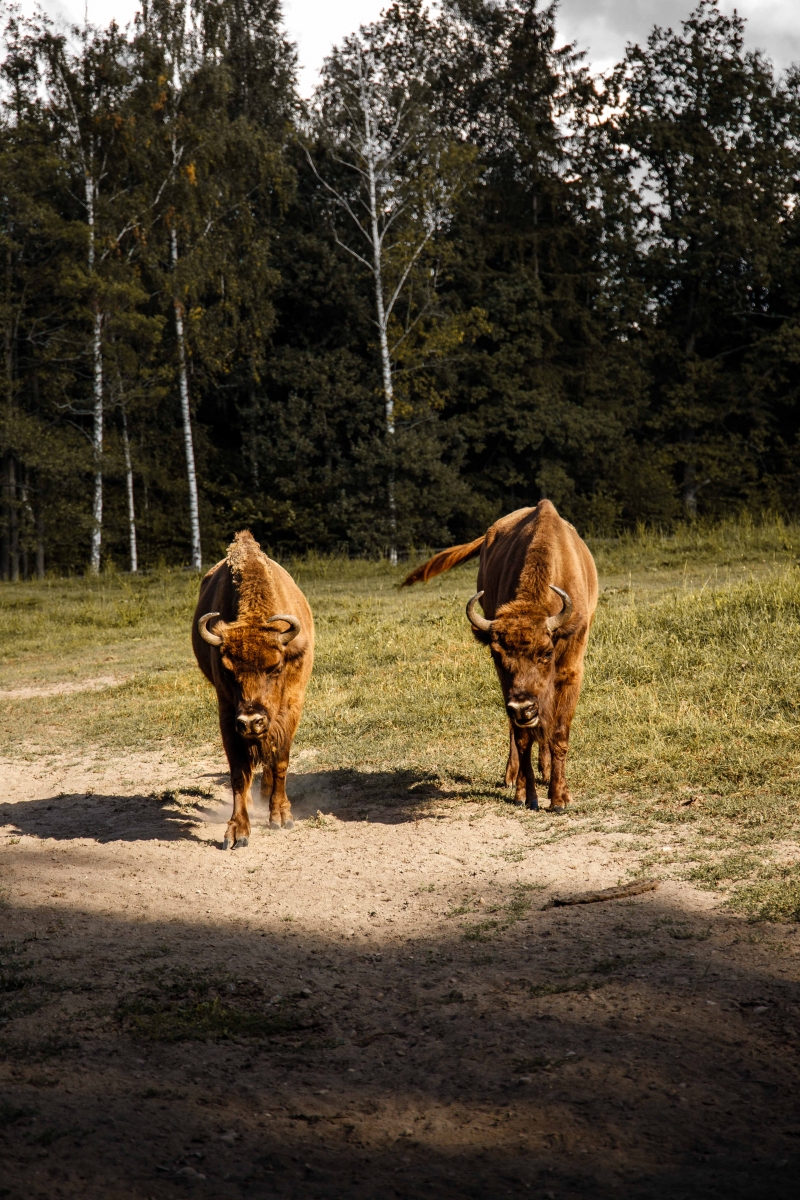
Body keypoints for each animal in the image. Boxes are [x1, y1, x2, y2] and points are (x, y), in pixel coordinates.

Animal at [402, 496, 597, 816]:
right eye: (497, 654)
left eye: (546, 652)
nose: (522, 707)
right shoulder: (509, 686)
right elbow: (522, 737)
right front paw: (524, 795)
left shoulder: (570, 670)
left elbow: (558, 733)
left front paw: (559, 799)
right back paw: (512, 776)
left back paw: (545, 772)